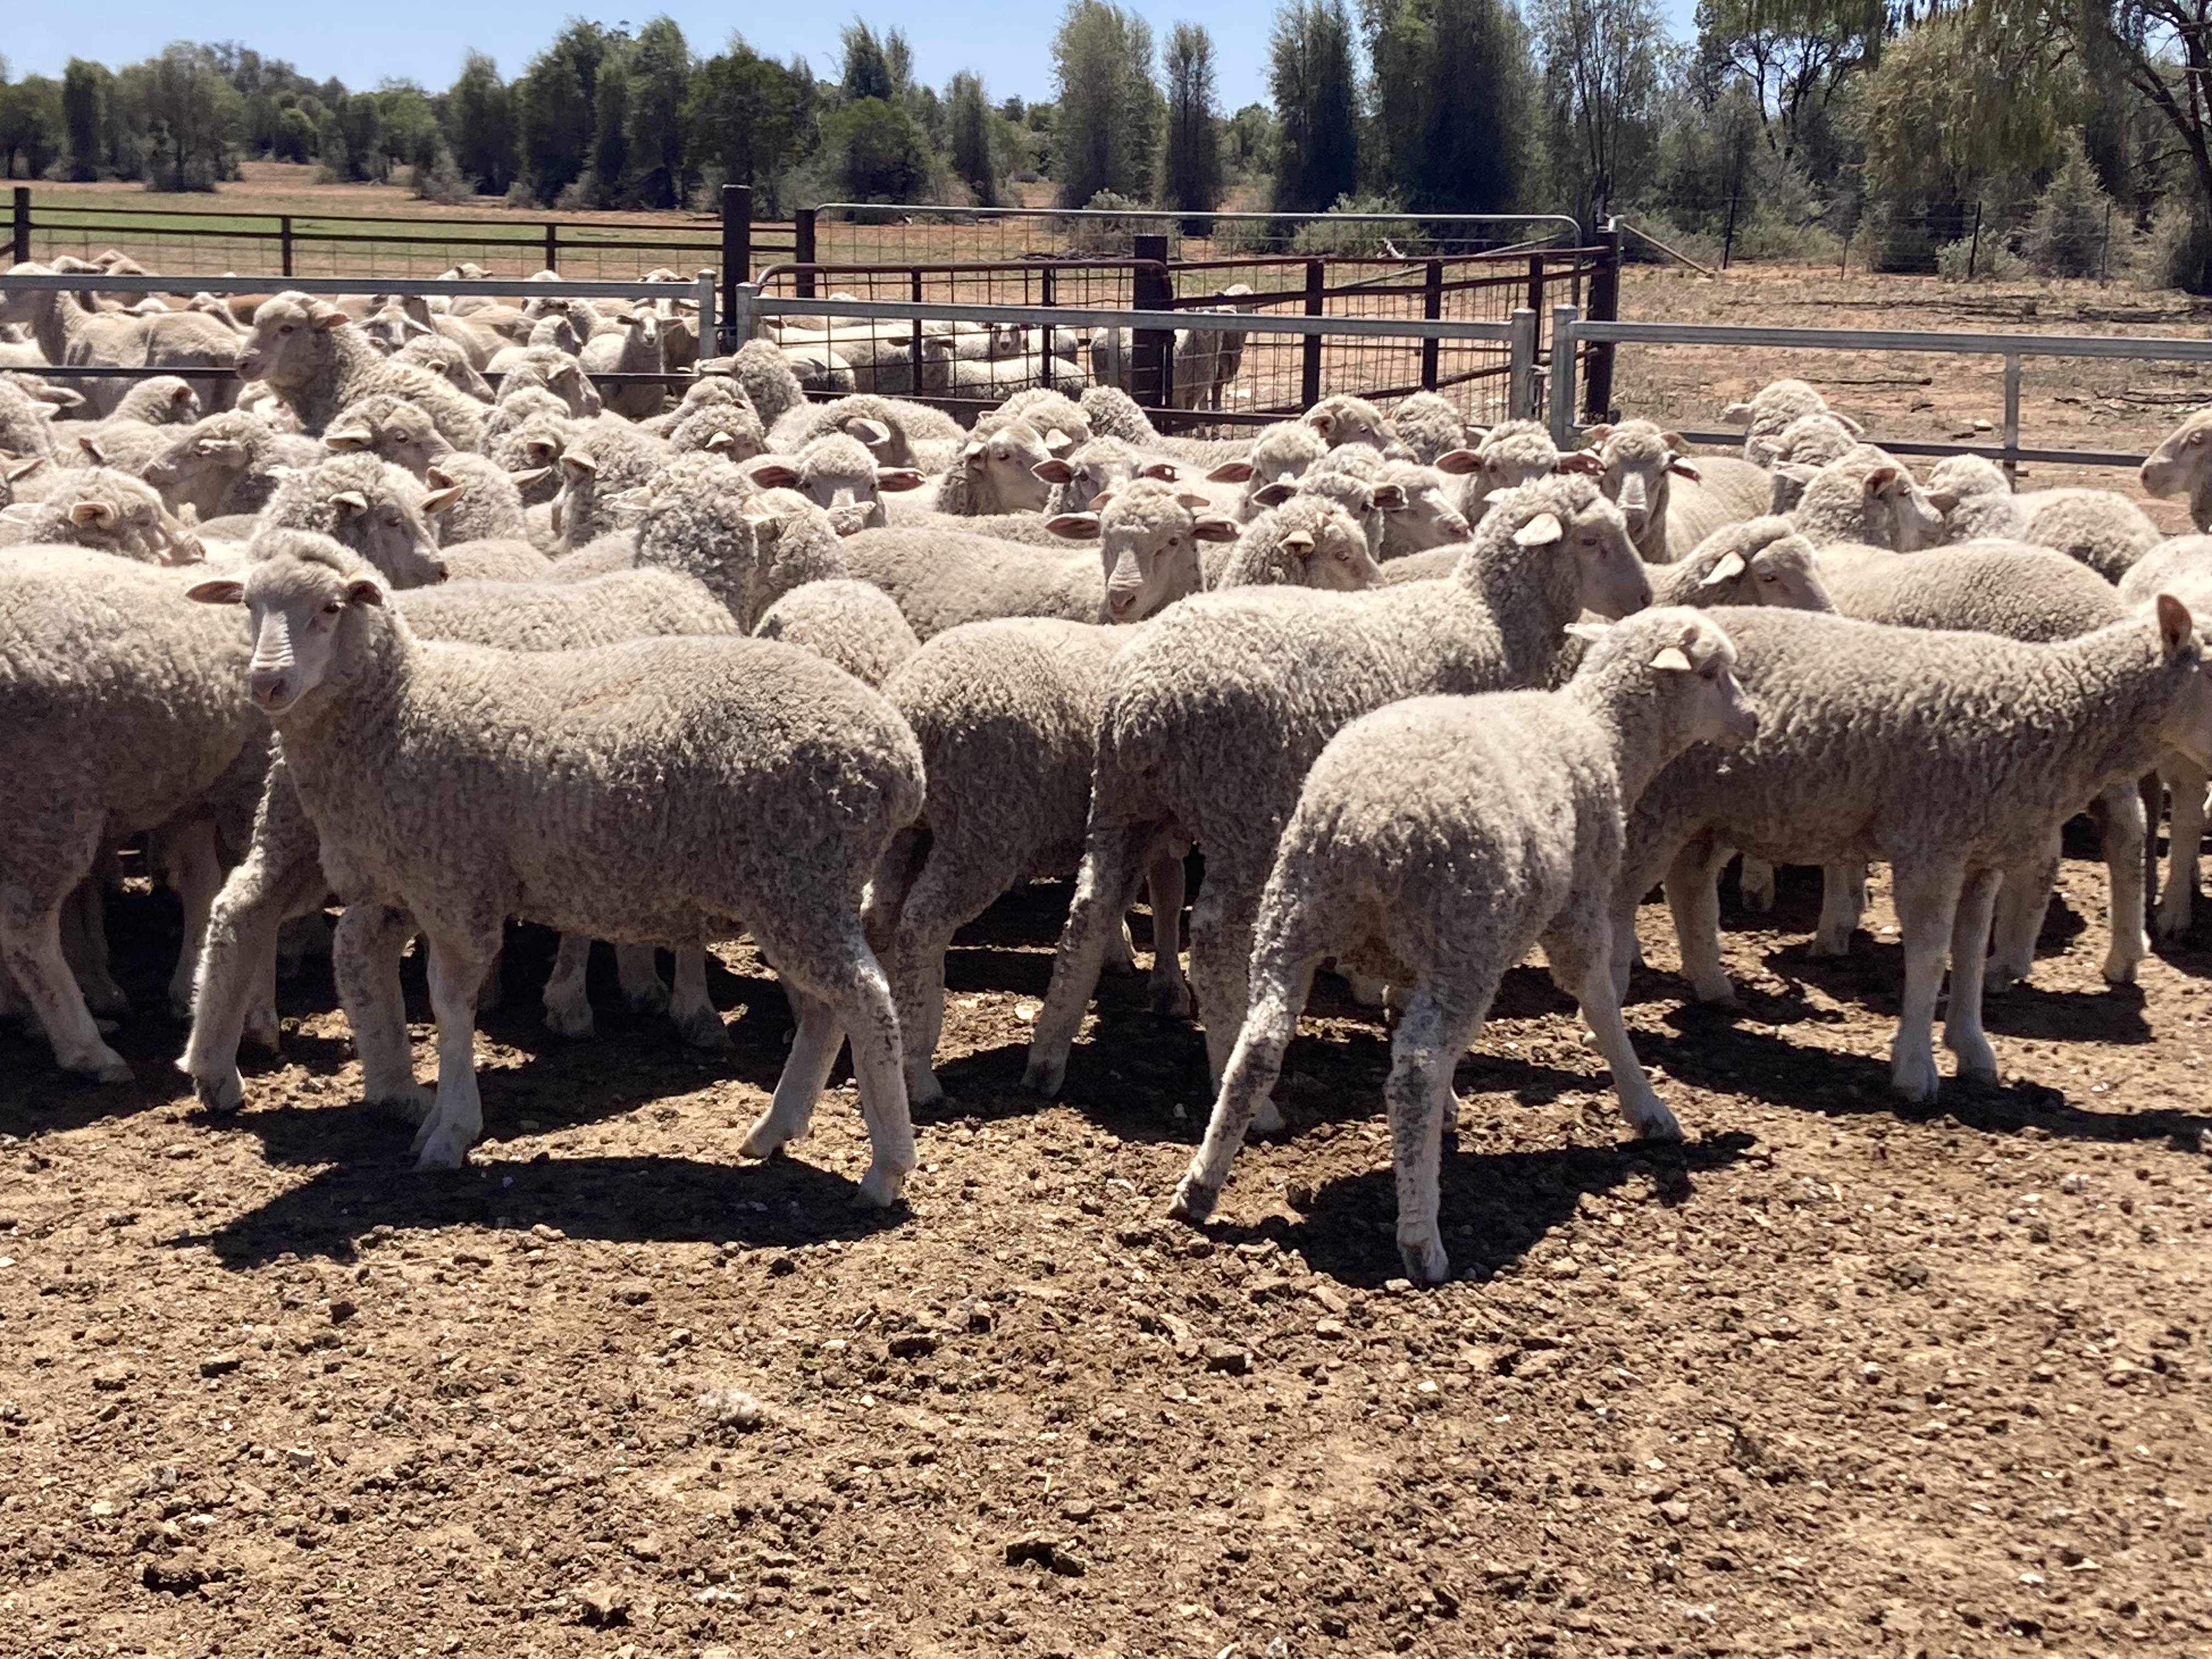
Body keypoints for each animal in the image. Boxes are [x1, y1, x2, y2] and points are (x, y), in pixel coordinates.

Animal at [183, 542, 926, 1194]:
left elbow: (450, 1005)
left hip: (802, 879)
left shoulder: (456, 890)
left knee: (866, 1000)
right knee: (832, 1007)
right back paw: (778, 1128)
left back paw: (886, 1167)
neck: (403, 707)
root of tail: (900, 757)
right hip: (801, 889)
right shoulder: (423, 885)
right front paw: (439, 1116)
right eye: (248, 605)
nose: (266, 683)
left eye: (331, 608)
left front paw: (450, 1131)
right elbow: (431, 995)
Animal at [1020, 474, 1655, 1106]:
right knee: (1214, 940)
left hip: (1123, 803)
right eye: (1594, 541)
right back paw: (1244, 1087)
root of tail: (1147, 697)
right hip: (1241, 812)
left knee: (1088, 915)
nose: (1646, 599)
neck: (1490, 620)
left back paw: (1046, 1061)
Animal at [1169, 609, 1760, 1282]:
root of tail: (1364, 823)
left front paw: (1443, 1115)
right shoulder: (1579, 905)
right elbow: (1600, 1002)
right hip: (1463, 938)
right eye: (1712, 673)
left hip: (1296, 916)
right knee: (1414, 1070)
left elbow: (1406, 1015)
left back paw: (1201, 1186)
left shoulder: (1410, 960)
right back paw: (1422, 1240)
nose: (1753, 721)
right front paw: (1647, 1106)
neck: (1600, 735)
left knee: (1259, 1049)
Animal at [1616, 600, 2212, 1103]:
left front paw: (1973, 1049)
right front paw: (1915, 1069)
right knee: (1627, 897)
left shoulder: (1979, 856)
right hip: (1658, 805)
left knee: (1688, 883)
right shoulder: (1931, 845)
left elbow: (1968, 951)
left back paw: (1713, 986)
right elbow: (1929, 954)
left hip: (1707, 812)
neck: (2050, 706)